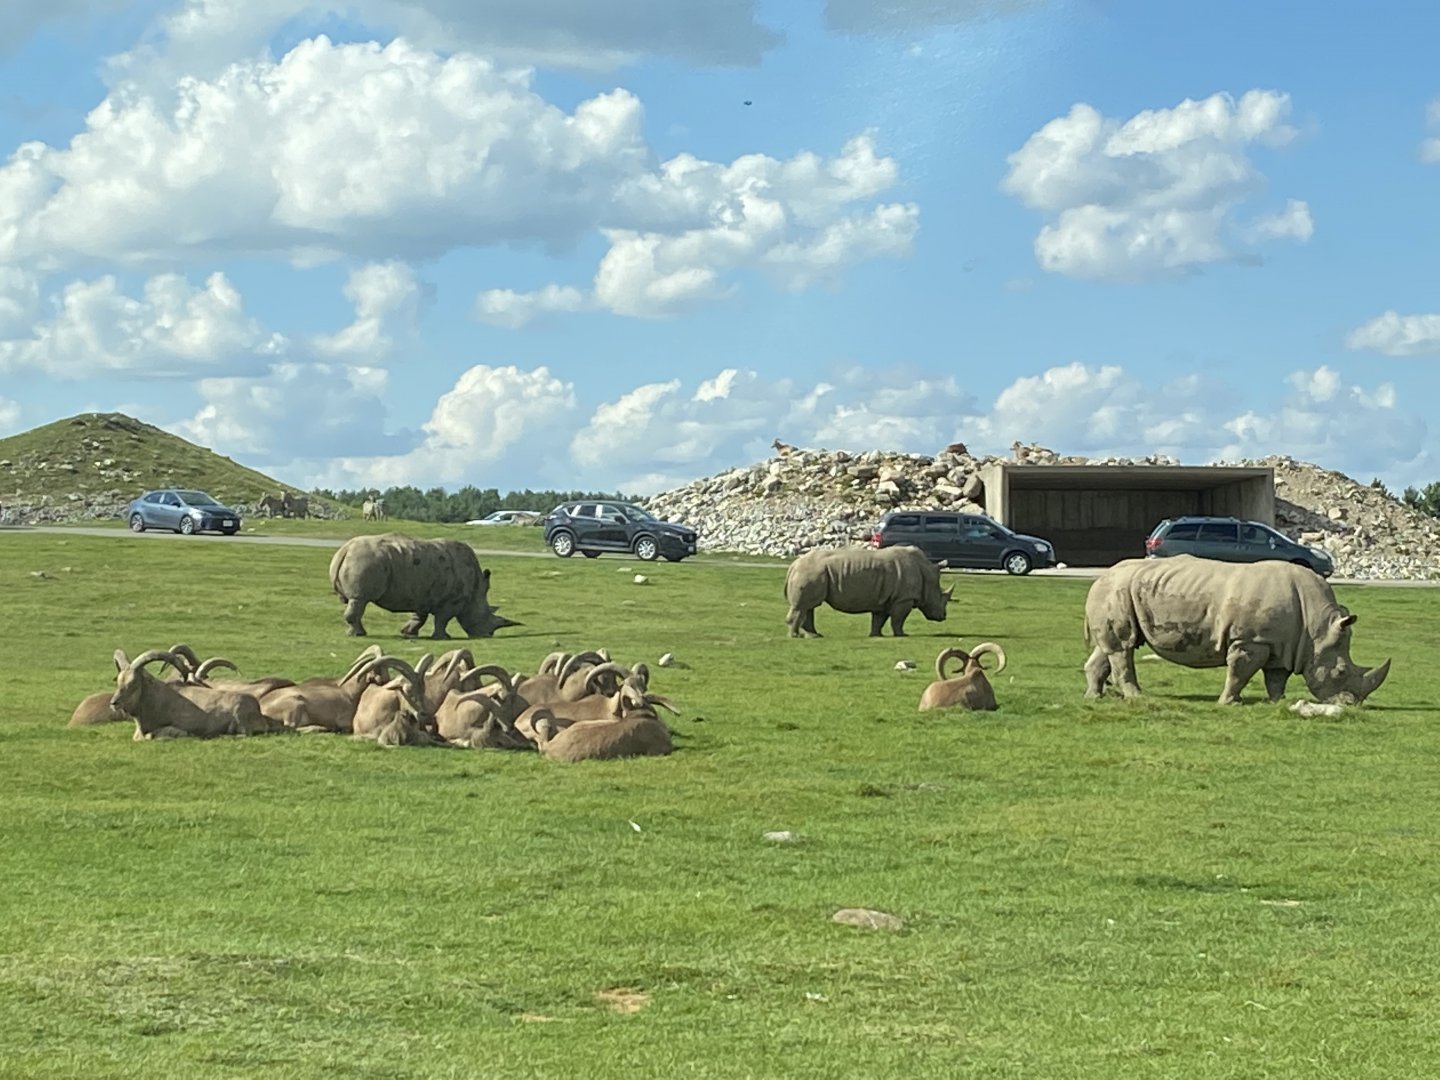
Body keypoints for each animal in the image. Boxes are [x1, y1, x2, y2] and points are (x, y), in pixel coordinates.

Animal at [329, 533, 519, 639]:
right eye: (486, 617)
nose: (488, 635)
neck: (475, 592)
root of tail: (345, 549)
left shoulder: (421, 593)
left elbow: (419, 616)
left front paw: (408, 633)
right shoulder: (453, 601)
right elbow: (442, 619)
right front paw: (444, 638)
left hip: (361, 559)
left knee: (354, 601)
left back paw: (356, 633)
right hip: (365, 561)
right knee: (360, 599)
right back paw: (359, 634)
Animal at [784, 544, 953, 638]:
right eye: (940, 596)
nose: (943, 616)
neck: (926, 572)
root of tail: (793, 565)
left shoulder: (885, 599)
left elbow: (879, 619)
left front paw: (876, 635)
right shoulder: (903, 598)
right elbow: (898, 619)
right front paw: (902, 635)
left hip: (811, 573)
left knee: (809, 606)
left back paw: (814, 636)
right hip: (810, 572)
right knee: (804, 606)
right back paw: (796, 636)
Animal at [1083, 555, 1391, 705]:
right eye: (1340, 672)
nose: (1351, 704)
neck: (1316, 628)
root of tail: (1099, 577)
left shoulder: (1282, 644)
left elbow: (1276, 677)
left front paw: (1277, 703)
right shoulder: (1251, 639)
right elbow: (1239, 672)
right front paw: (1228, 703)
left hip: (1118, 592)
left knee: (1109, 647)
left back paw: (1094, 697)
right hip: (1116, 590)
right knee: (1123, 647)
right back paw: (1137, 698)